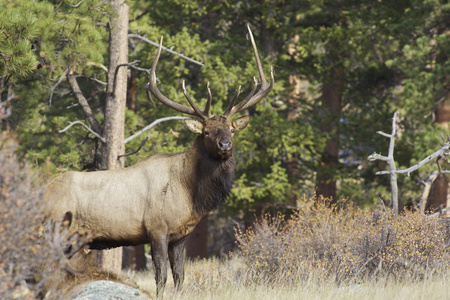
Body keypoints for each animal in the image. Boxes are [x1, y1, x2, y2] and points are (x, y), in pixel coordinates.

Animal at [44, 25, 272, 292]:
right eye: (206, 132)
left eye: (232, 130)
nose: (225, 145)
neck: (191, 194)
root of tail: (42, 190)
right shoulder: (156, 228)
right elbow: (161, 277)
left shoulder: (181, 235)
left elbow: (180, 277)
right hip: (56, 229)